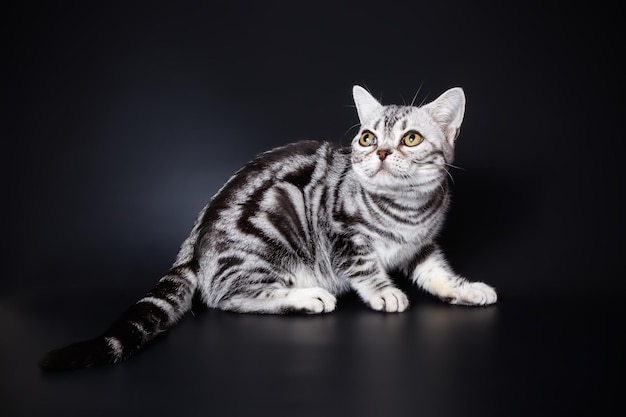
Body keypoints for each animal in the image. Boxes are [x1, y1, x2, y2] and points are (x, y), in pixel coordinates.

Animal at [39, 85, 498, 370]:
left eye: (411, 138)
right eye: (367, 138)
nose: (381, 152)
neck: (406, 210)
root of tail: (194, 241)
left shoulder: (421, 245)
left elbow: (438, 273)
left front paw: (467, 289)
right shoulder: (341, 235)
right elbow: (365, 267)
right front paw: (385, 293)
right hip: (275, 227)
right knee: (227, 297)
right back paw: (308, 297)